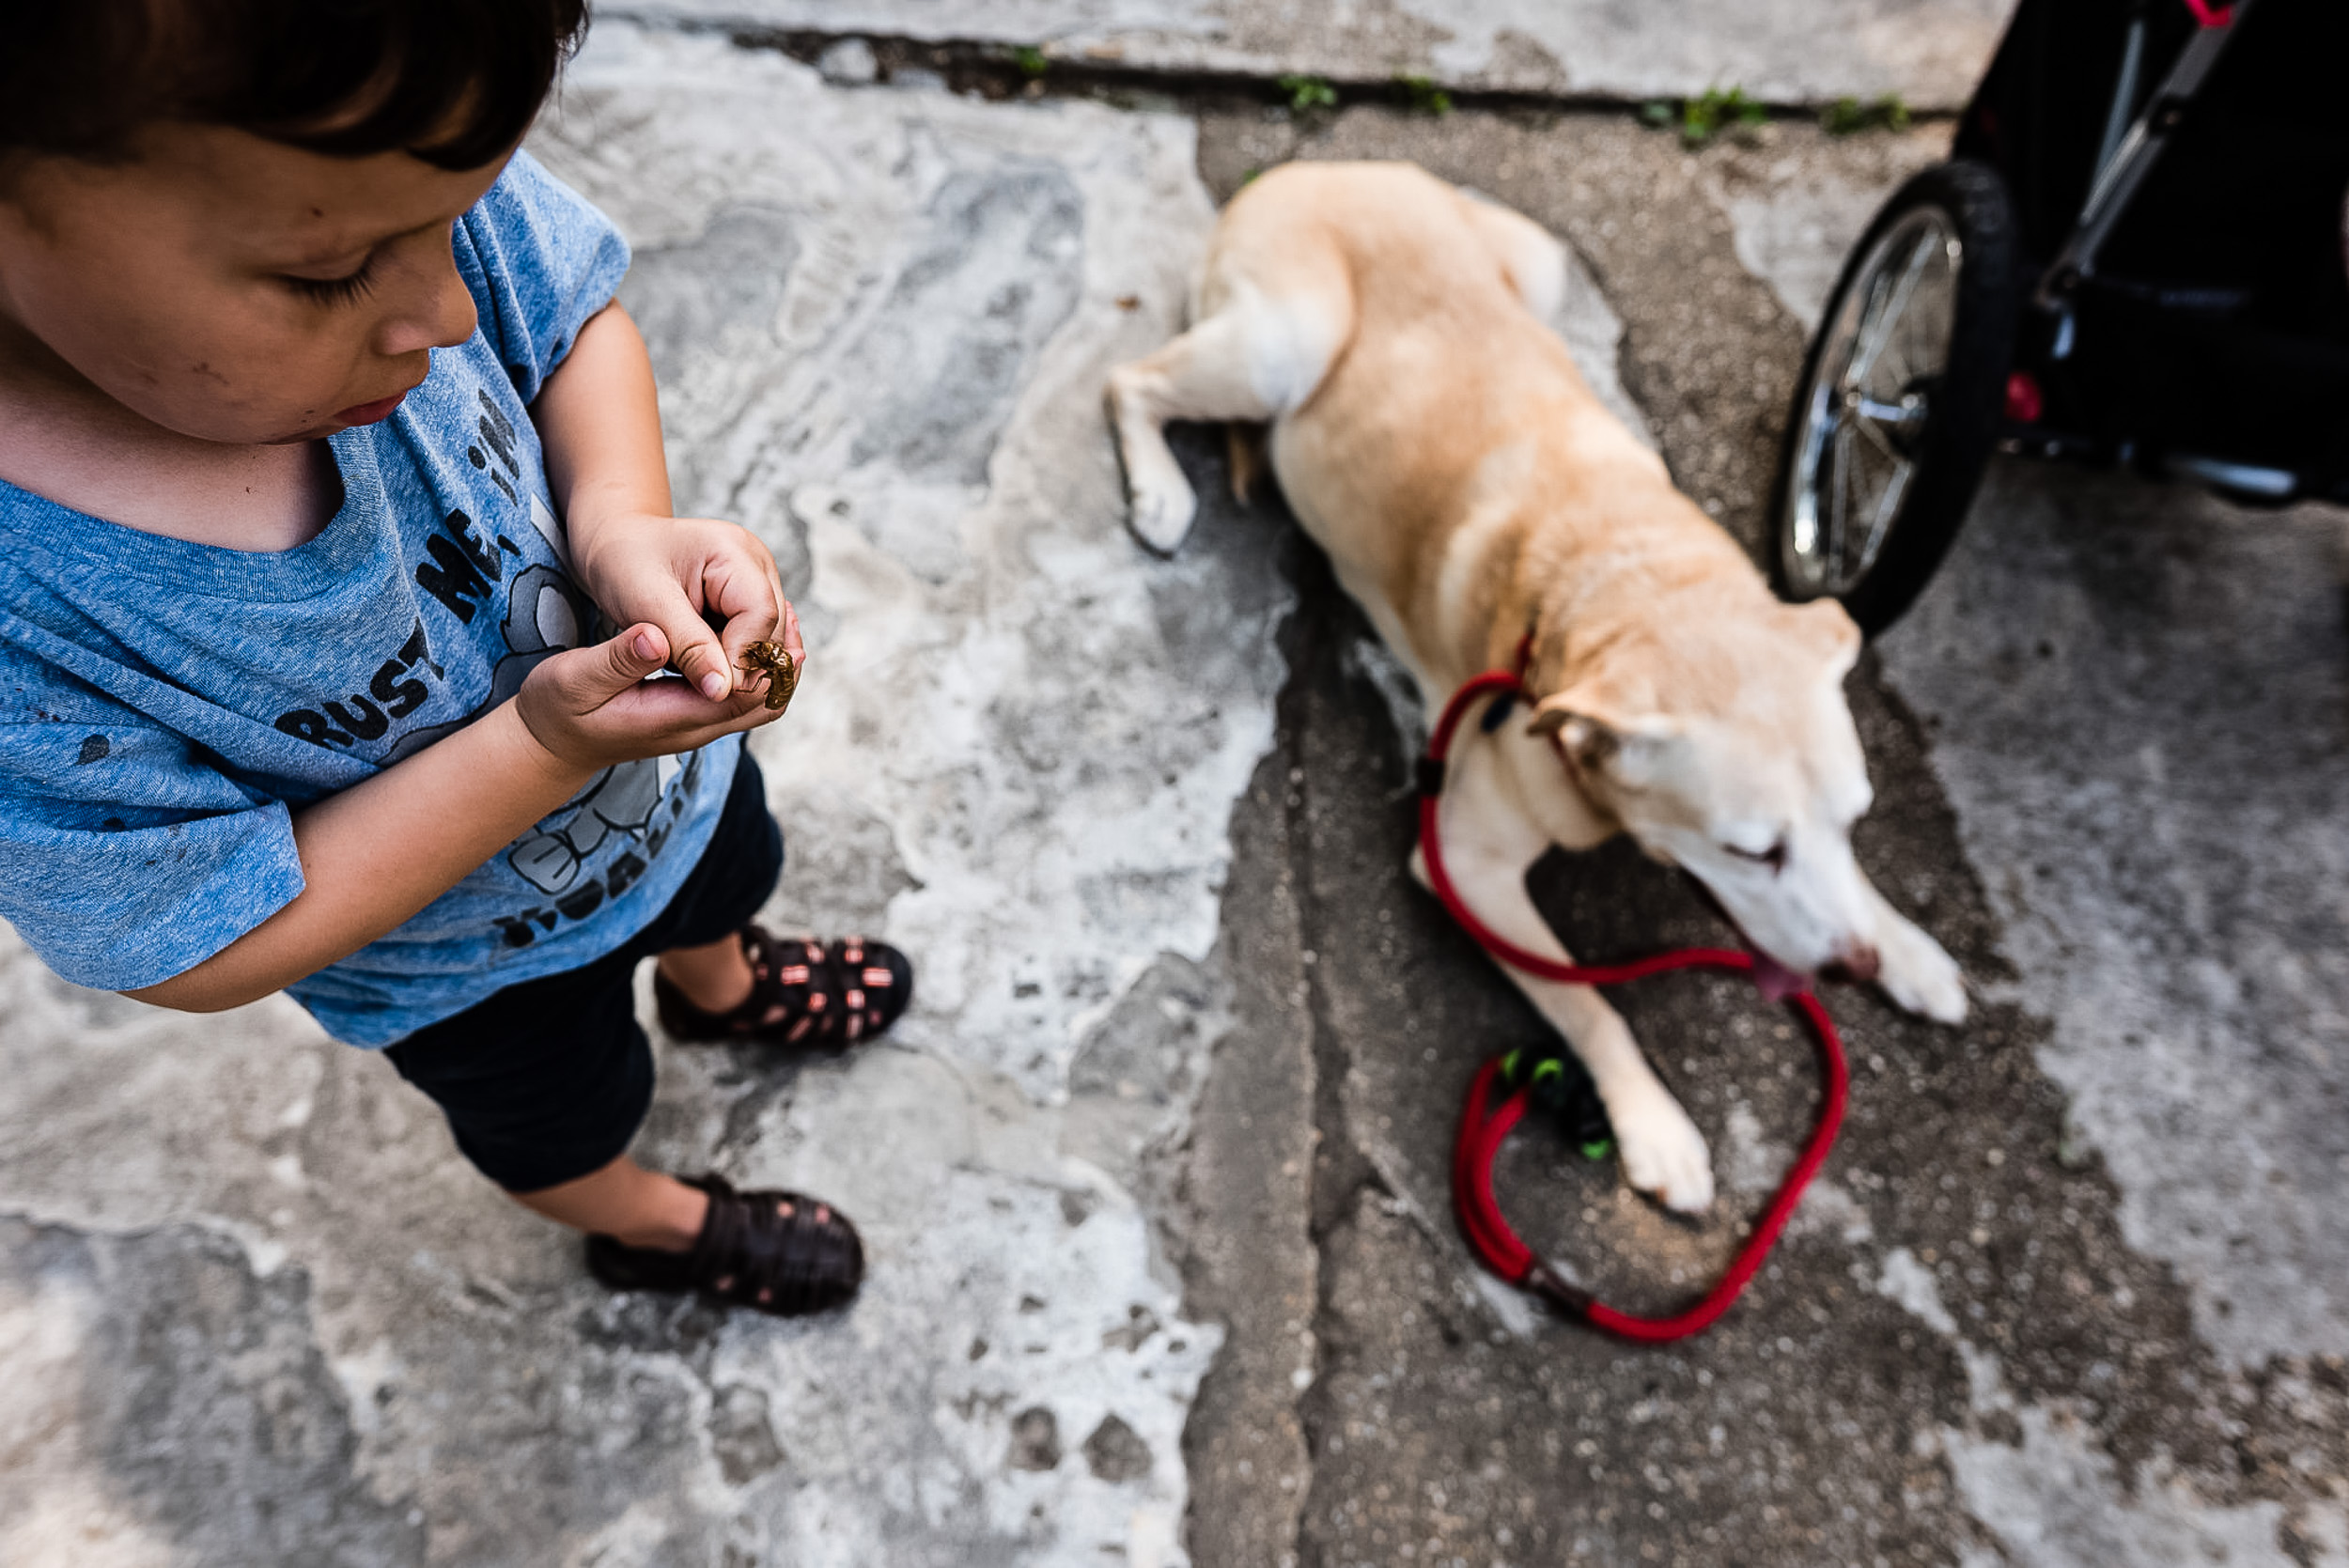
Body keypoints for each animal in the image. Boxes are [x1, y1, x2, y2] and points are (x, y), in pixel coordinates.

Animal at [1099, 162, 1964, 1211]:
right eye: (1748, 851)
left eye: (1854, 820)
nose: (1851, 968)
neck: (1622, 585)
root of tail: (1323, 165)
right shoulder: (1465, 868)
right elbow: (1588, 1002)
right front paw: (1653, 1124)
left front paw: (1907, 945)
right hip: (1285, 343)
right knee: (1129, 380)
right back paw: (1159, 493)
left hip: (1538, 265)